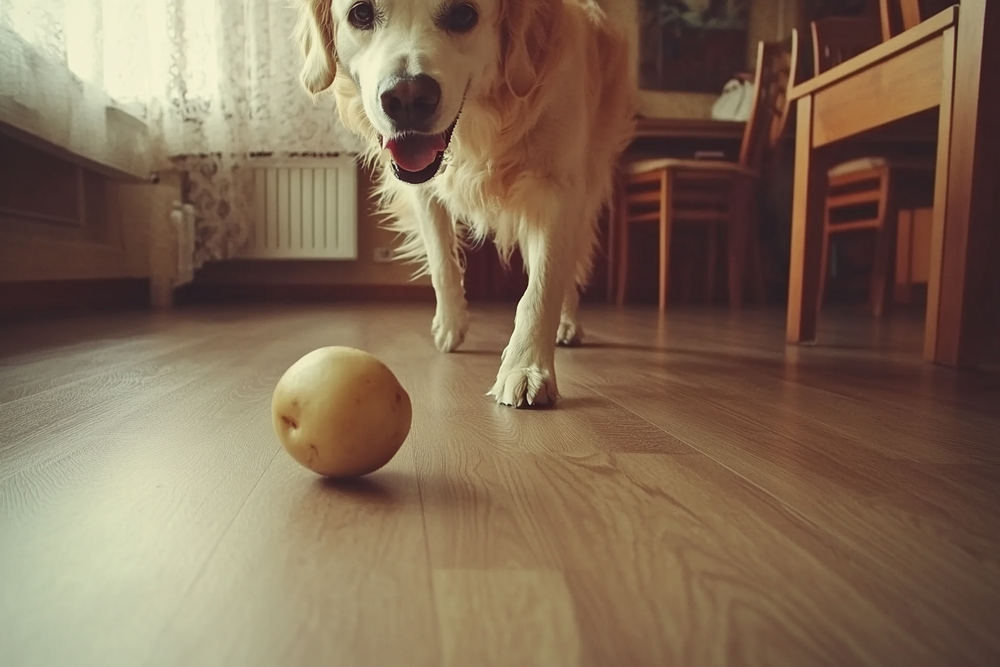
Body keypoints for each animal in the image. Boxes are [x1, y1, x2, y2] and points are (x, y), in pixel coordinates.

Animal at [296, 0, 636, 410]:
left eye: (463, 14)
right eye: (361, 13)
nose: (407, 99)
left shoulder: (559, 187)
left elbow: (543, 285)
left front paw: (526, 368)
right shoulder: (425, 191)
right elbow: (442, 263)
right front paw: (451, 325)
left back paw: (567, 322)